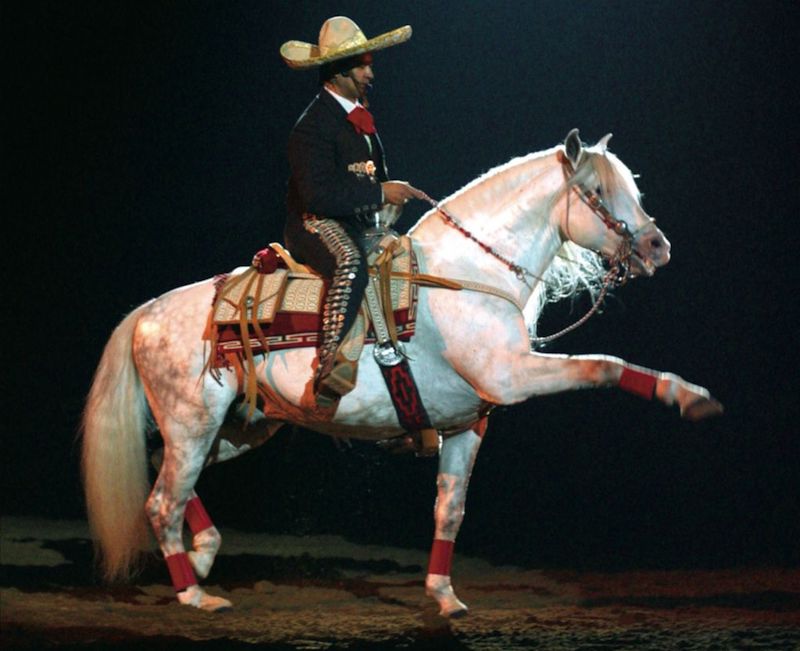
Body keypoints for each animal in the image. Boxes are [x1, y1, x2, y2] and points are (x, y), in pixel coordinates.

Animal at [81, 130, 722, 617]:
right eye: (596, 191)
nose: (657, 246)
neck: (468, 275)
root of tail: (149, 312)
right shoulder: (512, 376)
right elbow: (604, 366)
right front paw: (688, 395)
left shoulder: (468, 424)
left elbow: (450, 508)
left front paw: (444, 595)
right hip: (194, 424)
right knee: (162, 502)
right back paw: (194, 594)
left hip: (236, 429)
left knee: (163, 471)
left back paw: (204, 554)